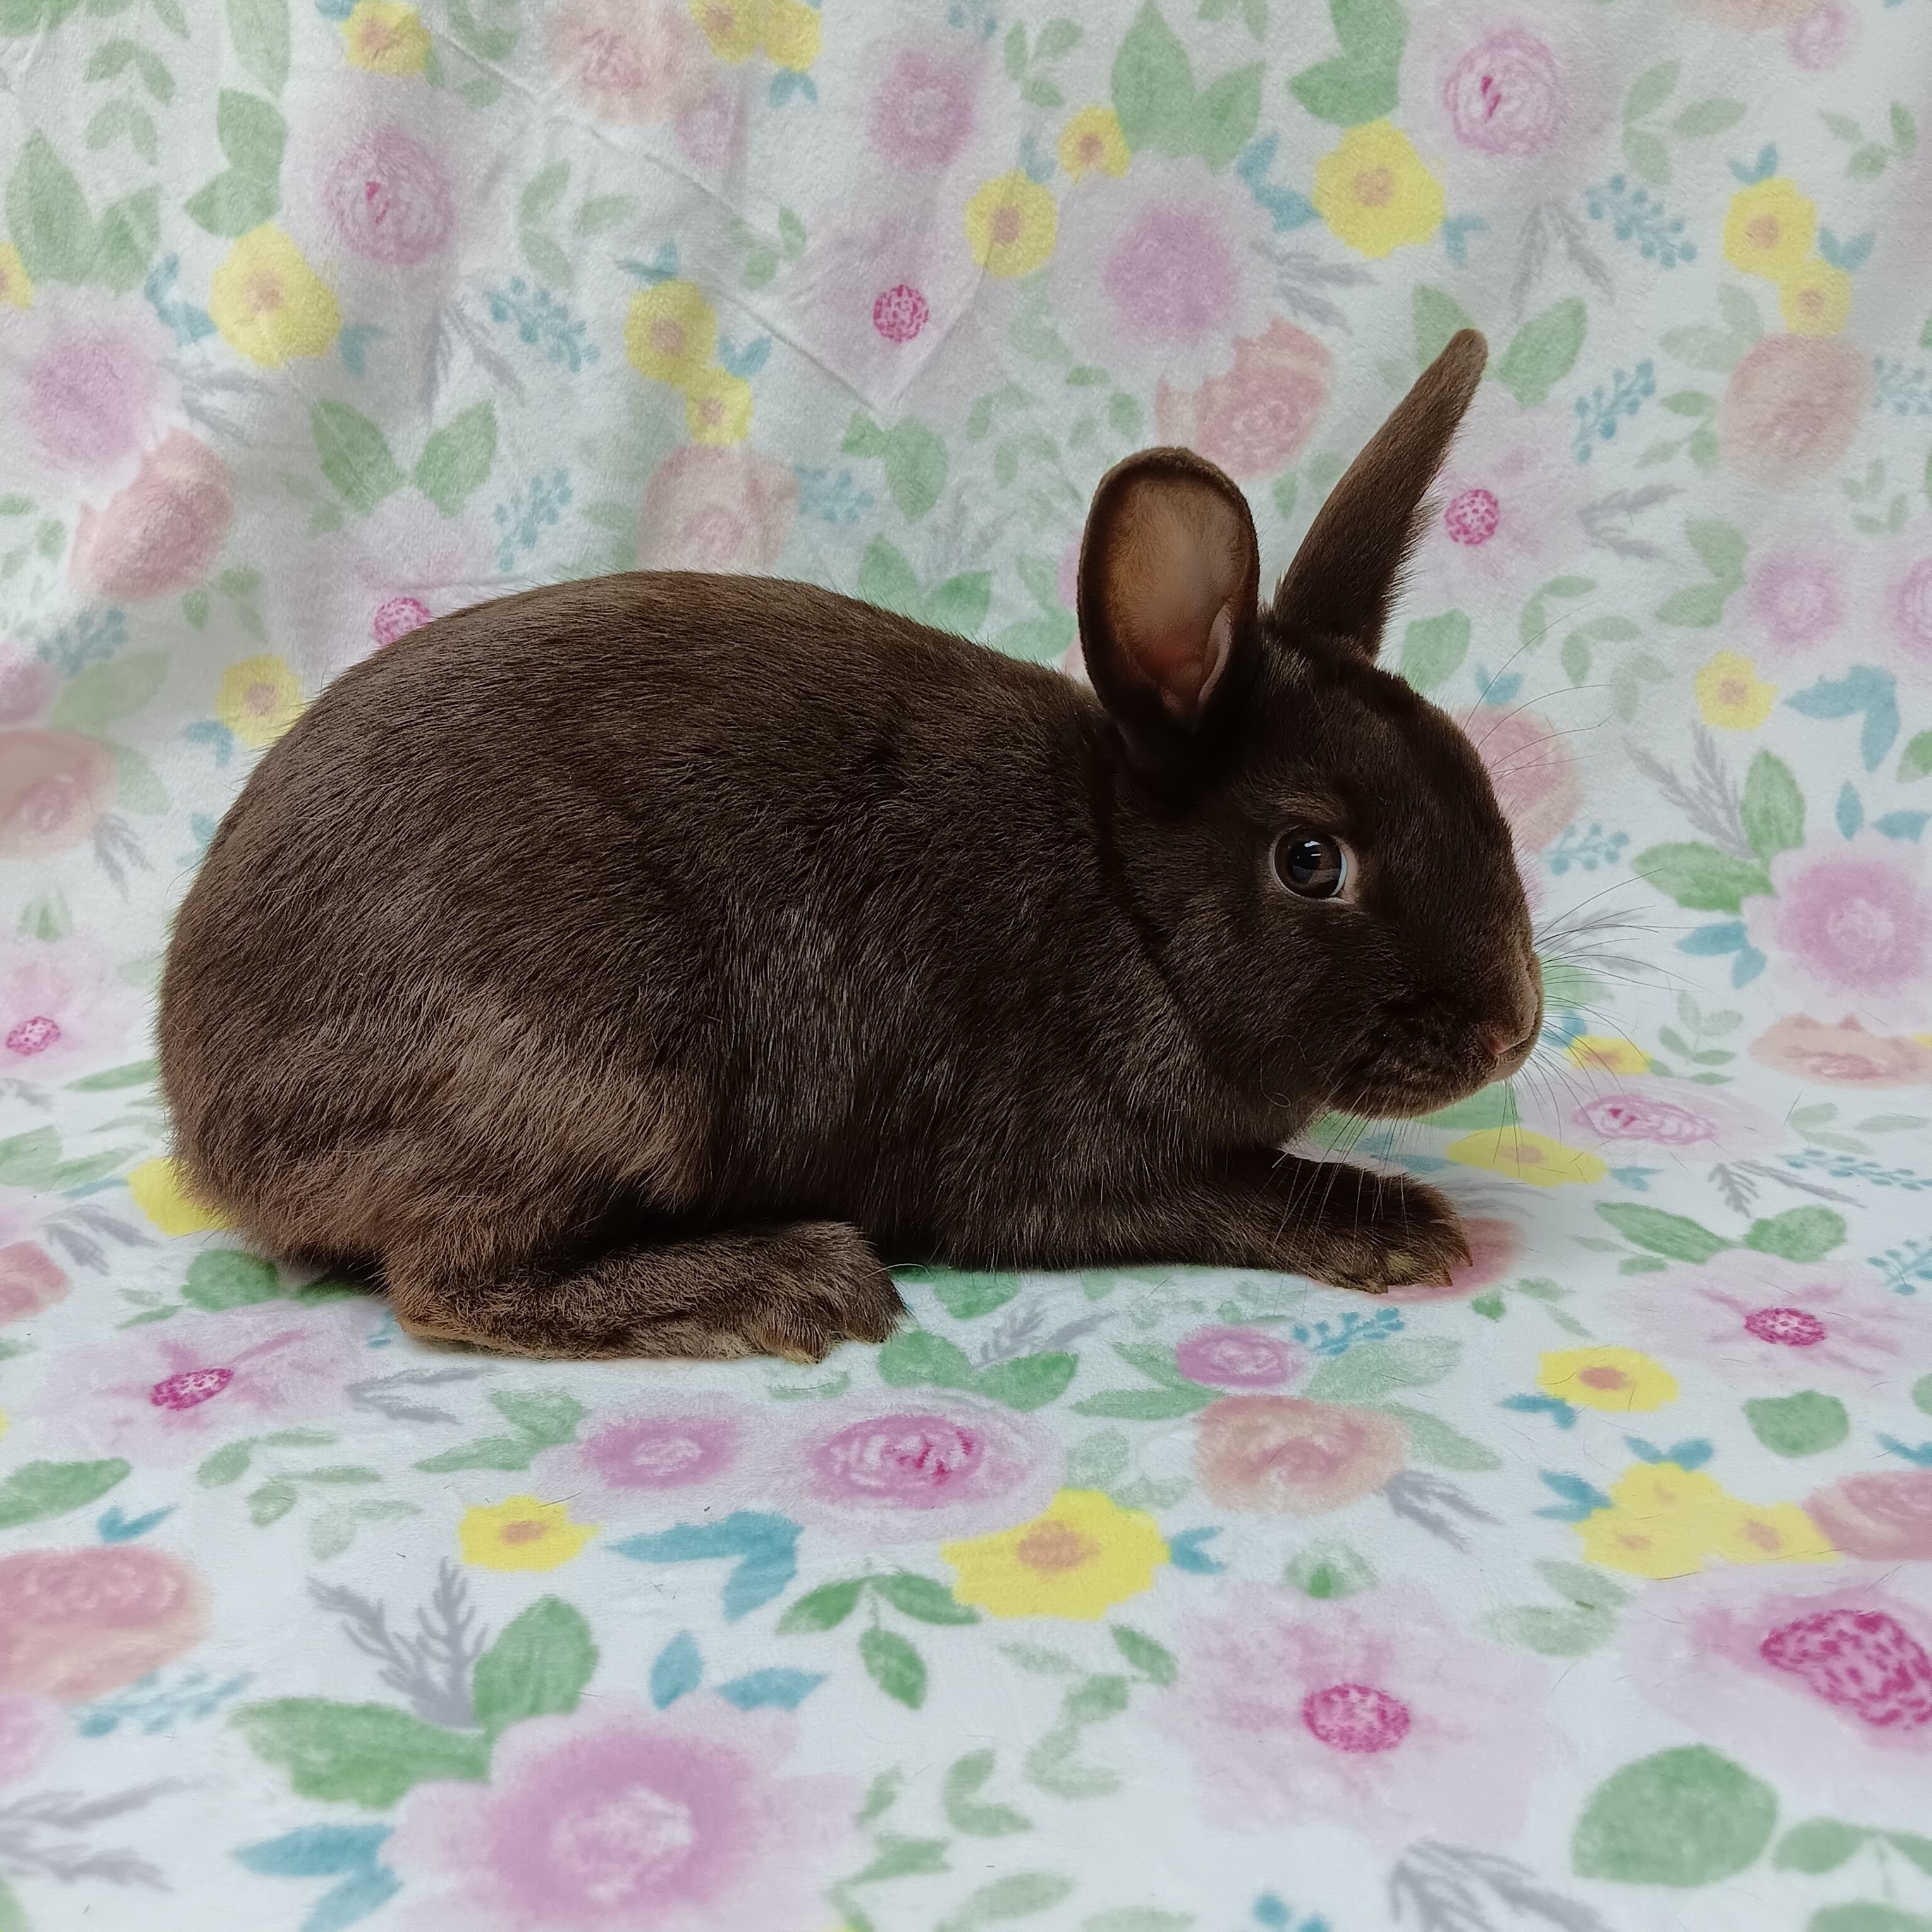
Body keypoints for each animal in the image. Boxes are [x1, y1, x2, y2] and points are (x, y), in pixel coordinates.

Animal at [157, 330, 1541, 1364]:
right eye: (1311, 861)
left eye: (1476, 781)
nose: (1514, 1029)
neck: (1125, 903)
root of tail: (209, 1124)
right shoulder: (1074, 1170)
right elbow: (1236, 1195)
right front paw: (1405, 1228)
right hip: (590, 1059)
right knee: (452, 1283)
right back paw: (793, 1282)